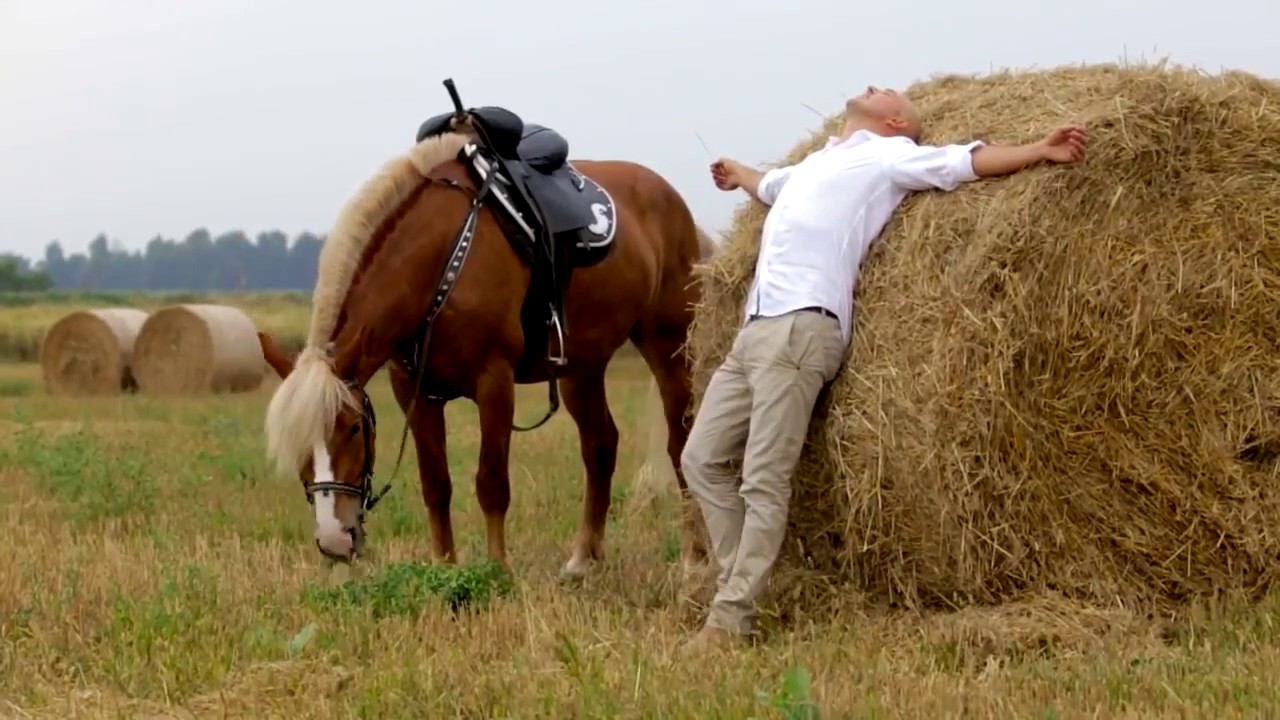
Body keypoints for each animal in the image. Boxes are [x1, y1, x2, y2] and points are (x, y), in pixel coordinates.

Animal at [254, 95, 721, 579]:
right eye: (296, 444)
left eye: (351, 428)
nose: (333, 538)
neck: (442, 257)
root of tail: (671, 199)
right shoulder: (414, 392)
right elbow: (435, 484)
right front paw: (444, 567)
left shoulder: (493, 381)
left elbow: (491, 482)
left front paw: (498, 571)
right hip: (581, 365)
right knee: (600, 445)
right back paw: (582, 558)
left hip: (669, 345)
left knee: (678, 441)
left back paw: (696, 559)